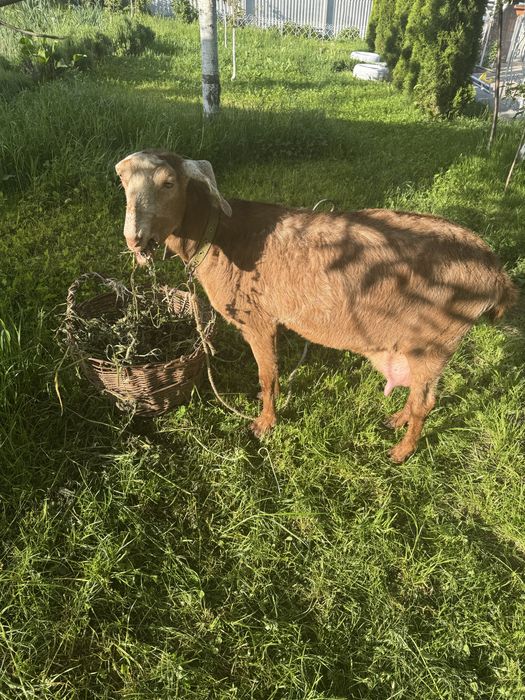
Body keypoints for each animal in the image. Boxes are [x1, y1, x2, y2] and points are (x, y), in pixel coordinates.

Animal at [115, 150, 517, 462]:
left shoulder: (258, 319)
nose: (135, 239)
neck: (218, 237)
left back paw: (401, 451)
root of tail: (497, 275)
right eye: (123, 181)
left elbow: (267, 374)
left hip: (434, 342)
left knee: (426, 403)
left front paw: (263, 424)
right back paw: (397, 421)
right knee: (425, 394)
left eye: (169, 183)